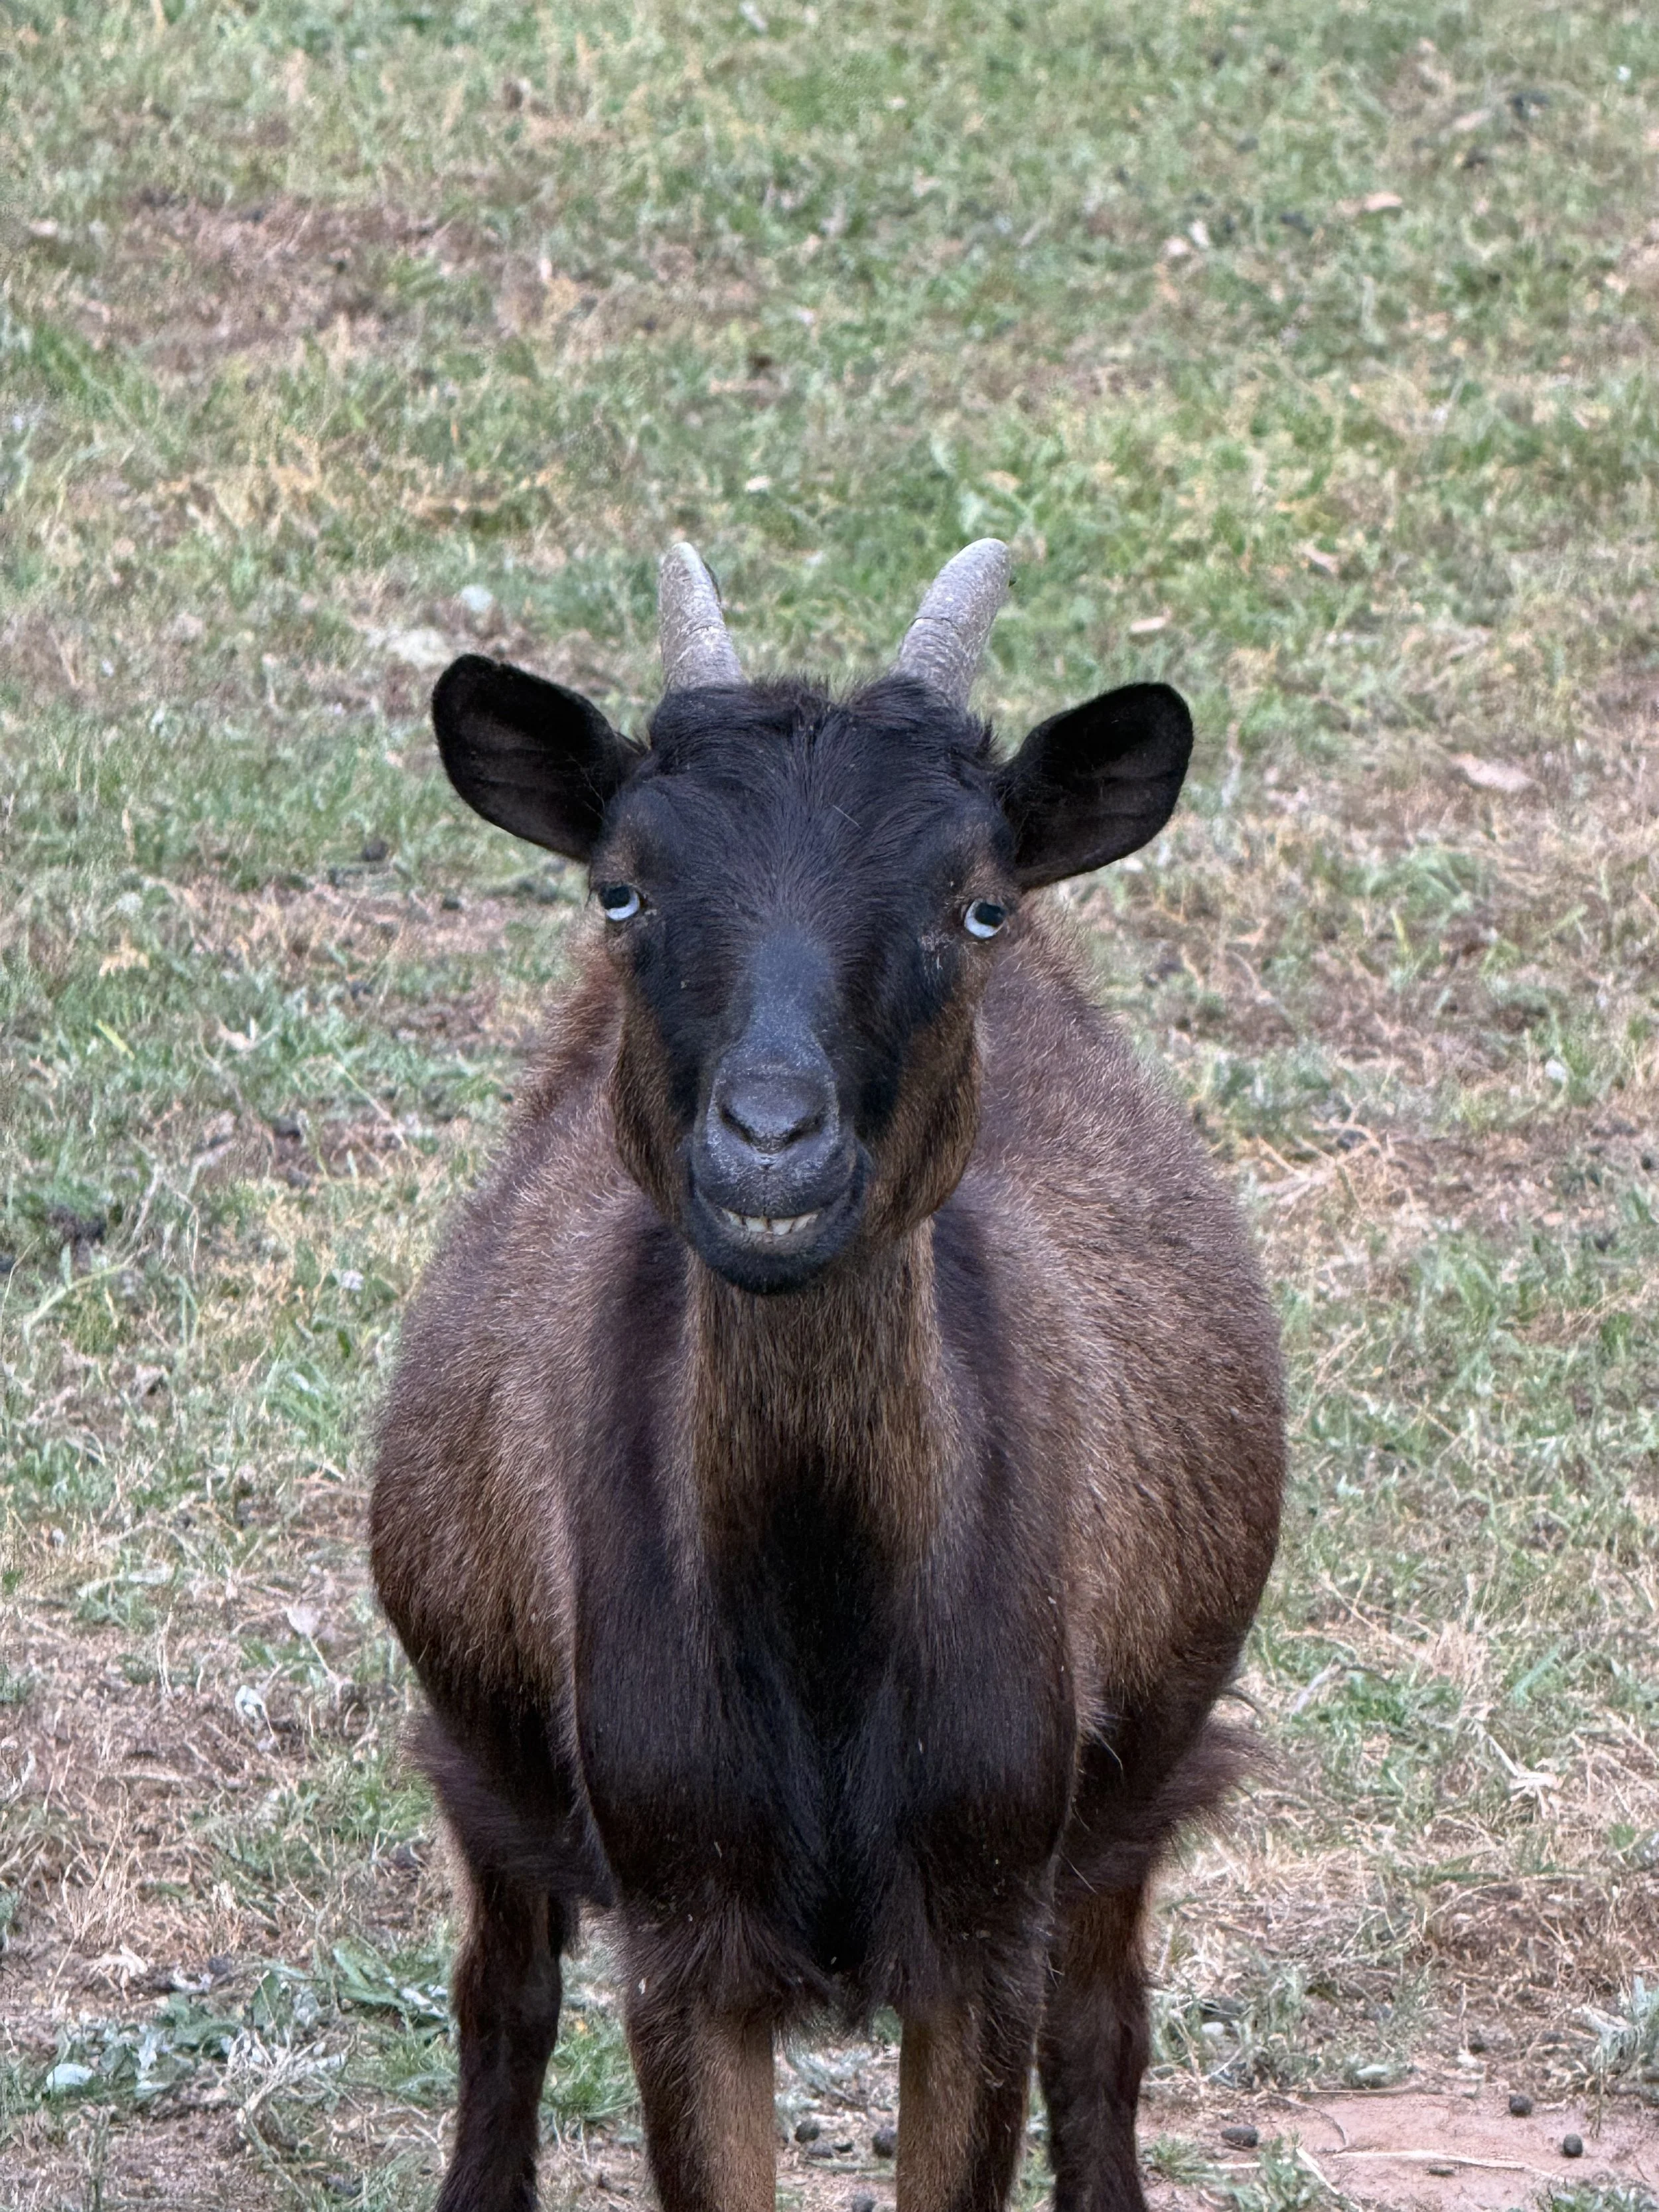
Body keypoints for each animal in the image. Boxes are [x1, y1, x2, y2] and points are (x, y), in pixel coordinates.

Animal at [370, 540, 1284, 2212]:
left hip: (1139, 1784)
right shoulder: (682, 1928)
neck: (824, 1625)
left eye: (974, 905)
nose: (771, 1153)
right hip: (480, 1747)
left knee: (1107, 2031)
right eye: (621, 885)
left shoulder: (985, 1920)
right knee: (499, 2000)